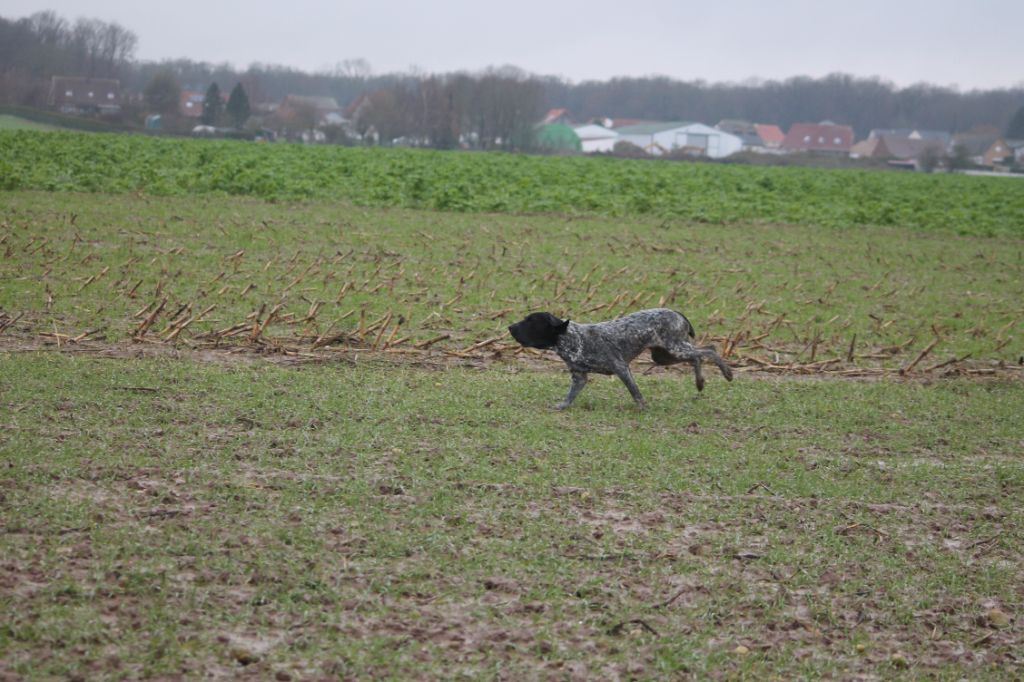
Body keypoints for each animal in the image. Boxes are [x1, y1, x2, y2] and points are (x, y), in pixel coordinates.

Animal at [507, 307, 733, 409]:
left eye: (531, 322)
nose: (509, 327)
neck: (573, 338)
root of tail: (677, 313)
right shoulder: (579, 377)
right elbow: (570, 396)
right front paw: (562, 406)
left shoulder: (621, 368)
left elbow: (635, 393)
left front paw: (643, 408)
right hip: (665, 356)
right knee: (699, 356)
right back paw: (700, 382)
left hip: (676, 349)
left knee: (710, 350)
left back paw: (727, 373)